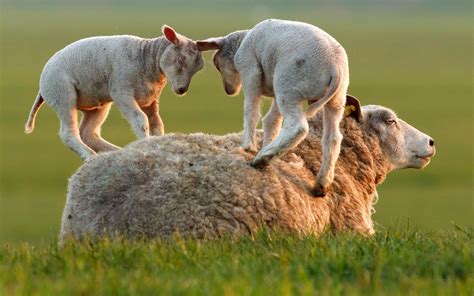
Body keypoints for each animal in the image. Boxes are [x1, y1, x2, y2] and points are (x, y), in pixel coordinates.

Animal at [24, 24, 206, 160]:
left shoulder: (150, 100)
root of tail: (41, 86)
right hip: (61, 93)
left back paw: (115, 152)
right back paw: (90, 157)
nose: (181, 90)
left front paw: (155, 143)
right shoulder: (122, 92)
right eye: (181, 60)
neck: (145, 58)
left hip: (97, 105)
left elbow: (157, 124)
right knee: (69, 134)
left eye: (199, 68)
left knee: (88, 134)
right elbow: (141, 121)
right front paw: (144, 144)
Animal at [195, 20, 348, 197]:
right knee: (333, 137)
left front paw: (248, 146)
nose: (229, 91)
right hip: (336, 100)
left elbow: (251, 111)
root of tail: (335, 68)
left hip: (288, 84)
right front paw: (267, 143)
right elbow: (271, 121)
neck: (241, 41)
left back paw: (263, 158)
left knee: (298, 127)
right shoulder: (273, 90)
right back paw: (321, 183)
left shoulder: (250, 69)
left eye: (217, 64)